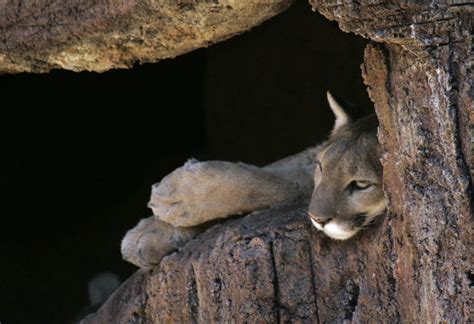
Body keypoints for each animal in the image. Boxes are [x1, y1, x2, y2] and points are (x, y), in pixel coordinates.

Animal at [119, 93, 386, 268]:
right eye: (322, 167)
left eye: (362, 185)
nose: (319, 219)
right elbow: (288, 169)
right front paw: (153, 231)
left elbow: (285, 187)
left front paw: (177, 194)